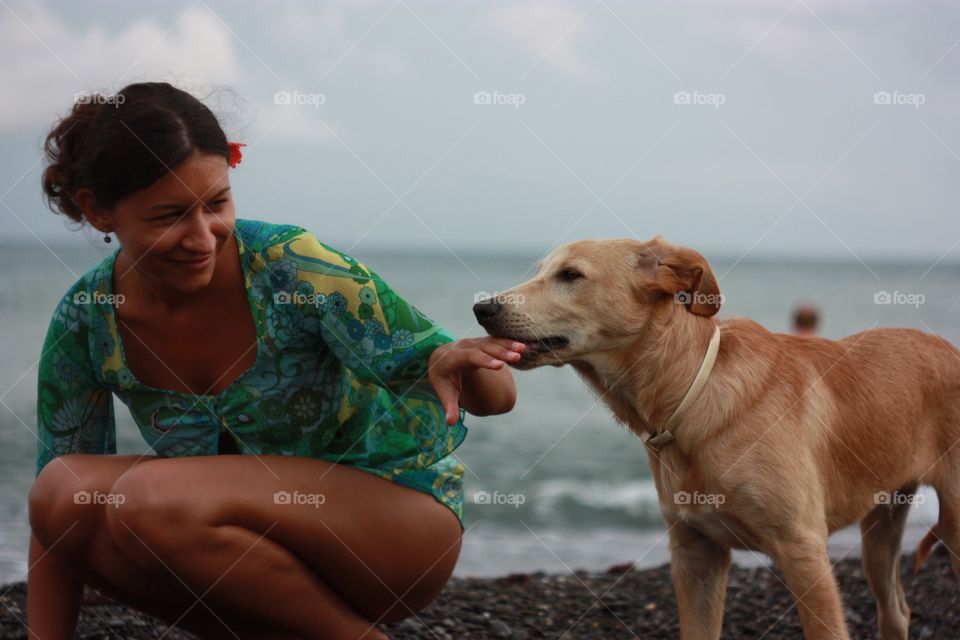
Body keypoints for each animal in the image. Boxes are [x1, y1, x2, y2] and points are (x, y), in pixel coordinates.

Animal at [472, 238, 960, 640]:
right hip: (879, 533)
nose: (482, 309)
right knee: (895, 611)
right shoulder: (695, 555)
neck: (689, 390)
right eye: (540, 270)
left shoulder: (803, 551)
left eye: (570, 275)